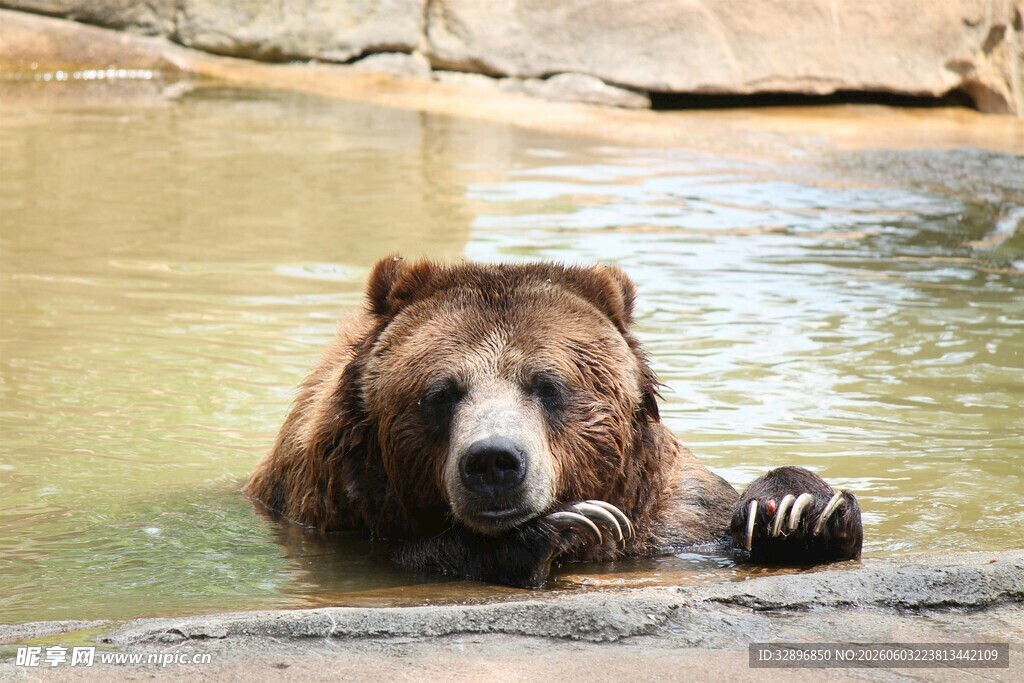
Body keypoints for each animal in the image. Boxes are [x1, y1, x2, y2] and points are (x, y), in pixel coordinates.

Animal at [245, 257, 863, 587]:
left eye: (547, 386)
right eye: (440, 394)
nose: (493, 461)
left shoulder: (674, 519)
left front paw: (797, 510)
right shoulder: (336, 509)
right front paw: (561, 526)